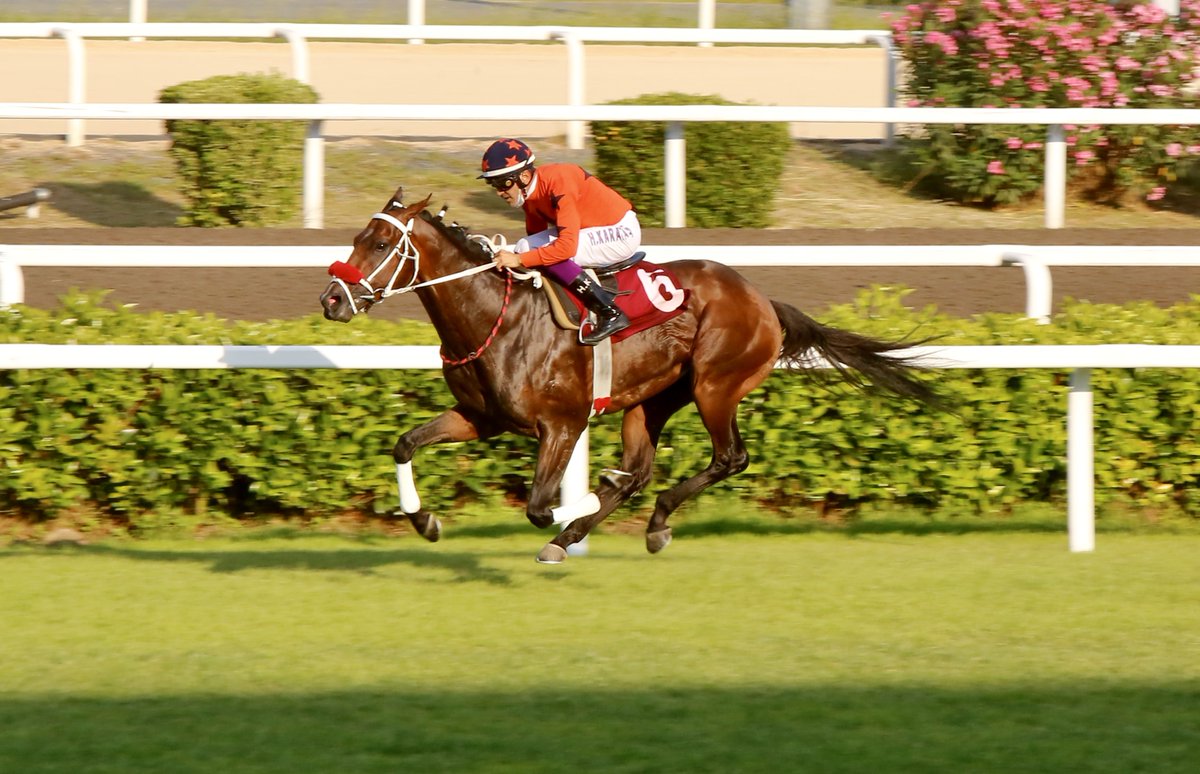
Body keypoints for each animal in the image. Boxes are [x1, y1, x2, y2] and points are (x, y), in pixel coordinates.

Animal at [319, 187, 936, 561]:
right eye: (355, 238)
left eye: (381, 242)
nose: (331, 300)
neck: (496, 318)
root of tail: (762, 300)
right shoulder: (481, 417)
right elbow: (404, 444)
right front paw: (424, 521)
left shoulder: (563, 424)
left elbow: (539, 506)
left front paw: (581, 506)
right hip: (652, 399)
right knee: (642, 470)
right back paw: (611, 524)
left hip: (715, 385)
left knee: (727, 458)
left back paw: (642, 520)